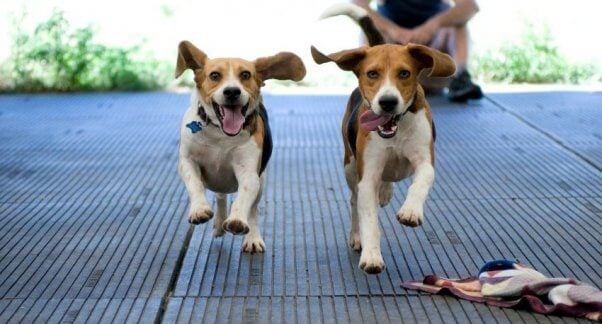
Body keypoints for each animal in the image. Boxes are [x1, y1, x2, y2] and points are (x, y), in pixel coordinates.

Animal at [175, 40, 304, 253]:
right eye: (214, 75)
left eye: (245, 75)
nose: (232, 91)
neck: (220, 134)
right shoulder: (188, 161)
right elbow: (195, 184)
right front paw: (199, 210)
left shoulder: (249, 173)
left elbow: (242, 200)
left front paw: (236, 220)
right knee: (220, 196)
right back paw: (219, 223)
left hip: (261, 182)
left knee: (252, 210)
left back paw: (252, 237)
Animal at [310, 4, 454, 274]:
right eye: (372, 73)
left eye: (405, 73)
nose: (388, 102)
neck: (395, 131)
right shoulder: (367, 177)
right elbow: (369, 221)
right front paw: (371, 256)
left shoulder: (425, 162)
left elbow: (420, 183)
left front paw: (410, 211)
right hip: (350, 167)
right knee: (354, 202)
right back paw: (357, 235)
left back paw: (387, 192)